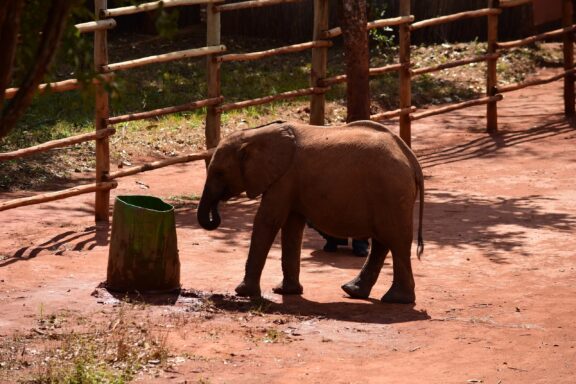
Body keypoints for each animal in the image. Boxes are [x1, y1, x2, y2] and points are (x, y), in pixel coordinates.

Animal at [198, 120, 424, 304]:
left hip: (392, 192)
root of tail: (411, 158)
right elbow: (291, 226)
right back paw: (353, 291)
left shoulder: (284, 178)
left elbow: (268, 220)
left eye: (219, 173)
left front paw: (243, 292)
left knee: (396, 241)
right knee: (383, 242)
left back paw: (396, 300)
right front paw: (286, 292)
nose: (216, 215)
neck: (255, 134)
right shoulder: (289, 181)